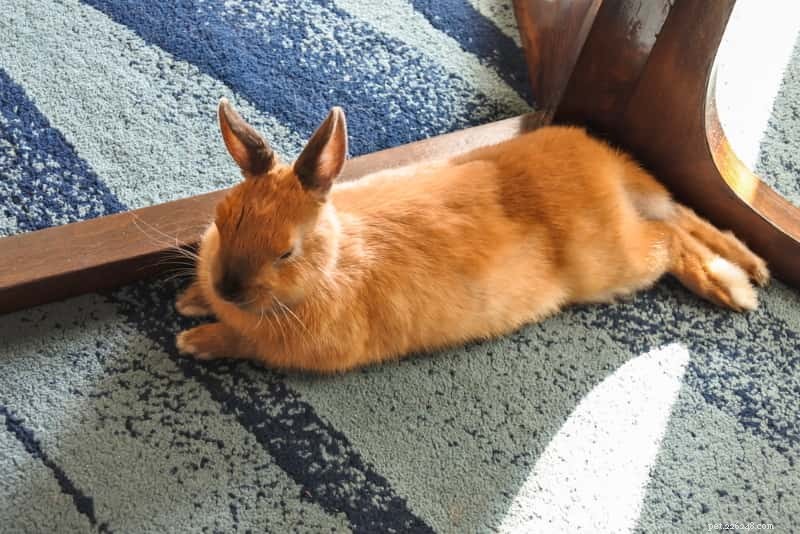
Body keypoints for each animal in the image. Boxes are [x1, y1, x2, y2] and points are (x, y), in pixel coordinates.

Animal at [175, 98, 769, 372]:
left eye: (286, 252)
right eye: (222, 218)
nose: (226, 288)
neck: (330, 265)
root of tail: (607, 167)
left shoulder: (297, 347)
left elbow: (244, 343)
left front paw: (194, 339)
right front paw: (189, 301)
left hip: (617, 262)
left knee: (668, 237)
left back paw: (734, 288)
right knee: (681, 214)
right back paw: (752, 266)